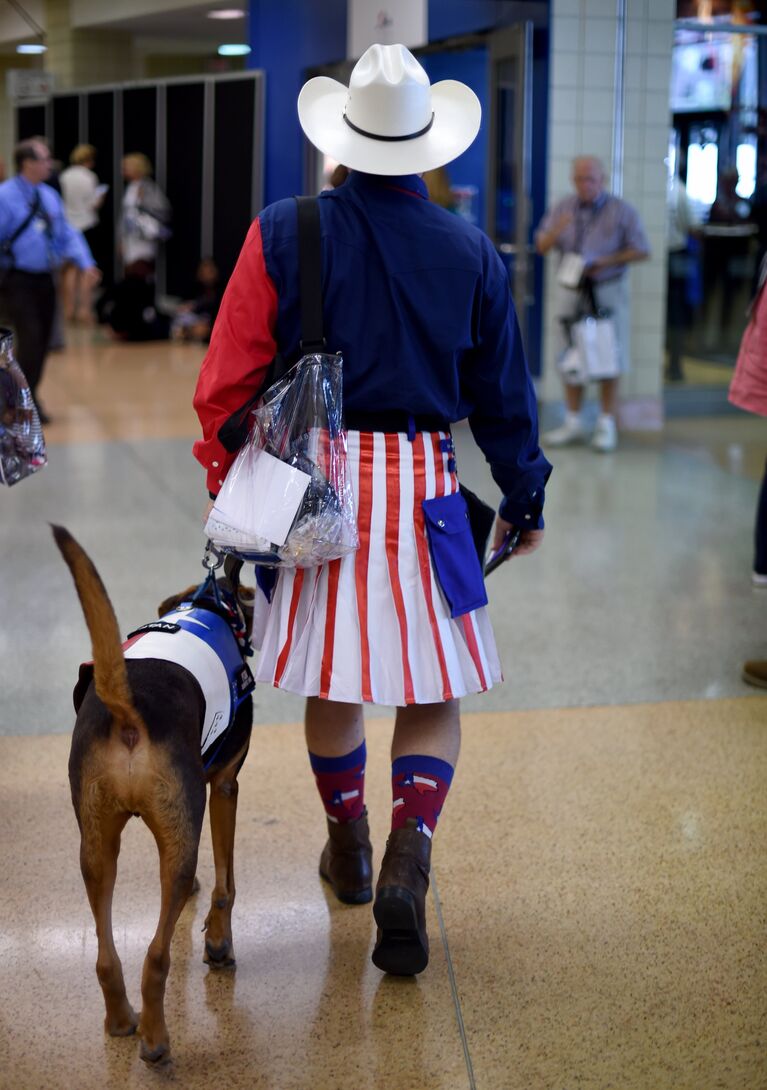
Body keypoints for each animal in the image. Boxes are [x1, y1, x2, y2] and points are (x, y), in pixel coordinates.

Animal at [54, 527, 257, 1063]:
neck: (209, 606)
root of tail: (128, 707)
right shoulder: (224, 785)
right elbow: (227, 883)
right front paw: (219, 945)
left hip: (97, 845)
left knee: (107, 956)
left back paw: (123, 1021)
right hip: (178, 832)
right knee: (157, 955)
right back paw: (155, 1041)